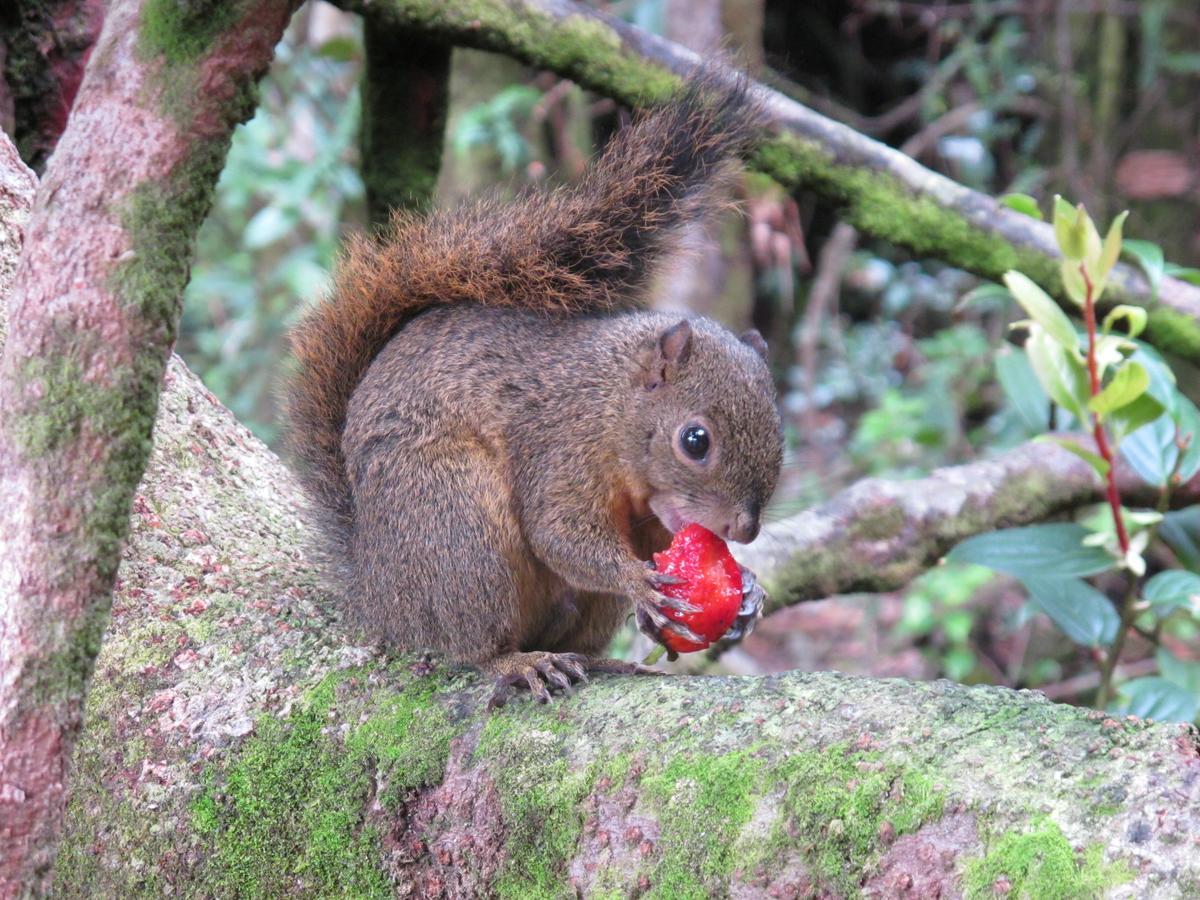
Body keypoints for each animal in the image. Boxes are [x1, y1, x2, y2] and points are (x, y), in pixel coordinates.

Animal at [284, 74, 782, 705]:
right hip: (458, 527)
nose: (745, 530)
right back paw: (519, 662)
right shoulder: (558, 445)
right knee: (473, 645)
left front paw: (749, 592)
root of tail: (381, 594)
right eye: (695, 441)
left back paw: (609, 662)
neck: (610, 402)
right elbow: (559, 532)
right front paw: (639, 582)